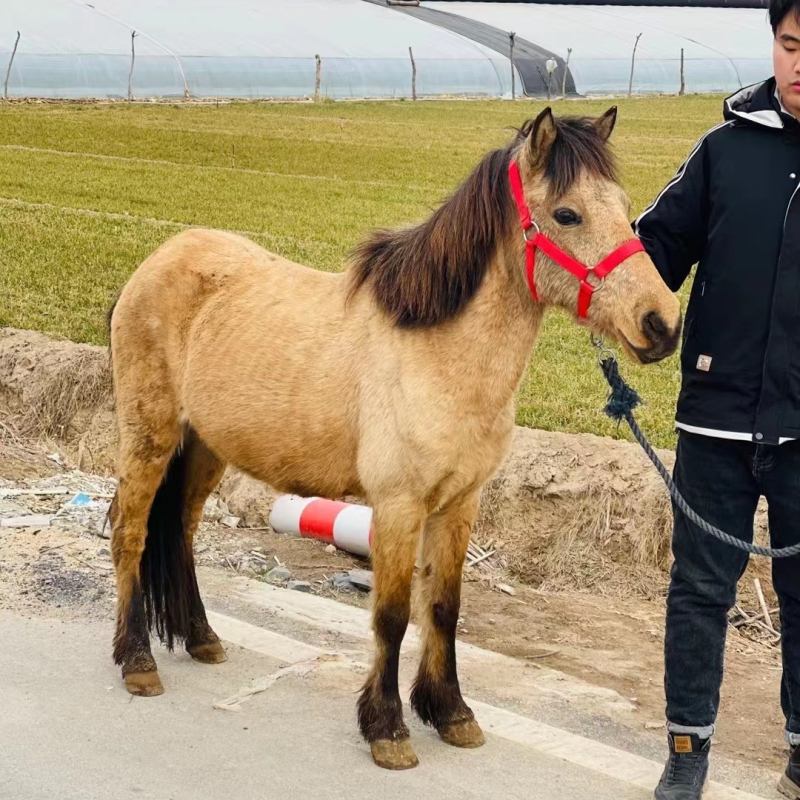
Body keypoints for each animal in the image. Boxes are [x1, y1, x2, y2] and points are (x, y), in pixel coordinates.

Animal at [107, 106, 681, 770]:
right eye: (568, 214)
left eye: (624, 206)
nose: (662, 324)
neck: (436, 351)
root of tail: (156, 261)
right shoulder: (399, 506)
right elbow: (391, 616)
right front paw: (388, 728)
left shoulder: (459, 505)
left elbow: (443, 609)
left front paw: (452, 713)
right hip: (149, 436)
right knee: (130, 533)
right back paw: (138, 662)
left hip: (204, 448)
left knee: (179, 530)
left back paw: (201, 638)